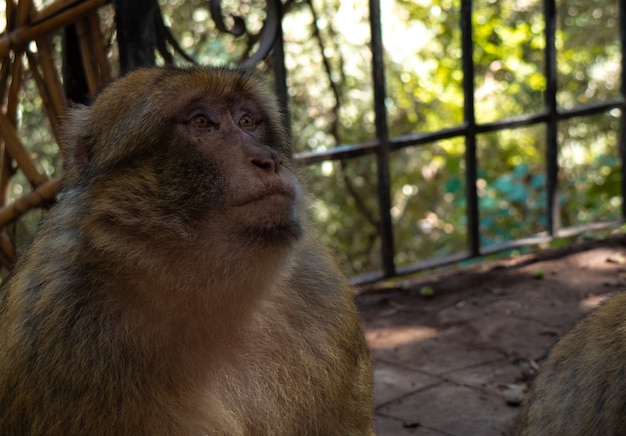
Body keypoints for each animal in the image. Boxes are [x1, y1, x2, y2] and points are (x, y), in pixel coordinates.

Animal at [0, 65, 372, 436]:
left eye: (247, 120)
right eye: (201, 122)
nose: (268, 160)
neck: (207, 292)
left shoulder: (321, 294)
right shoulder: (61, 320)